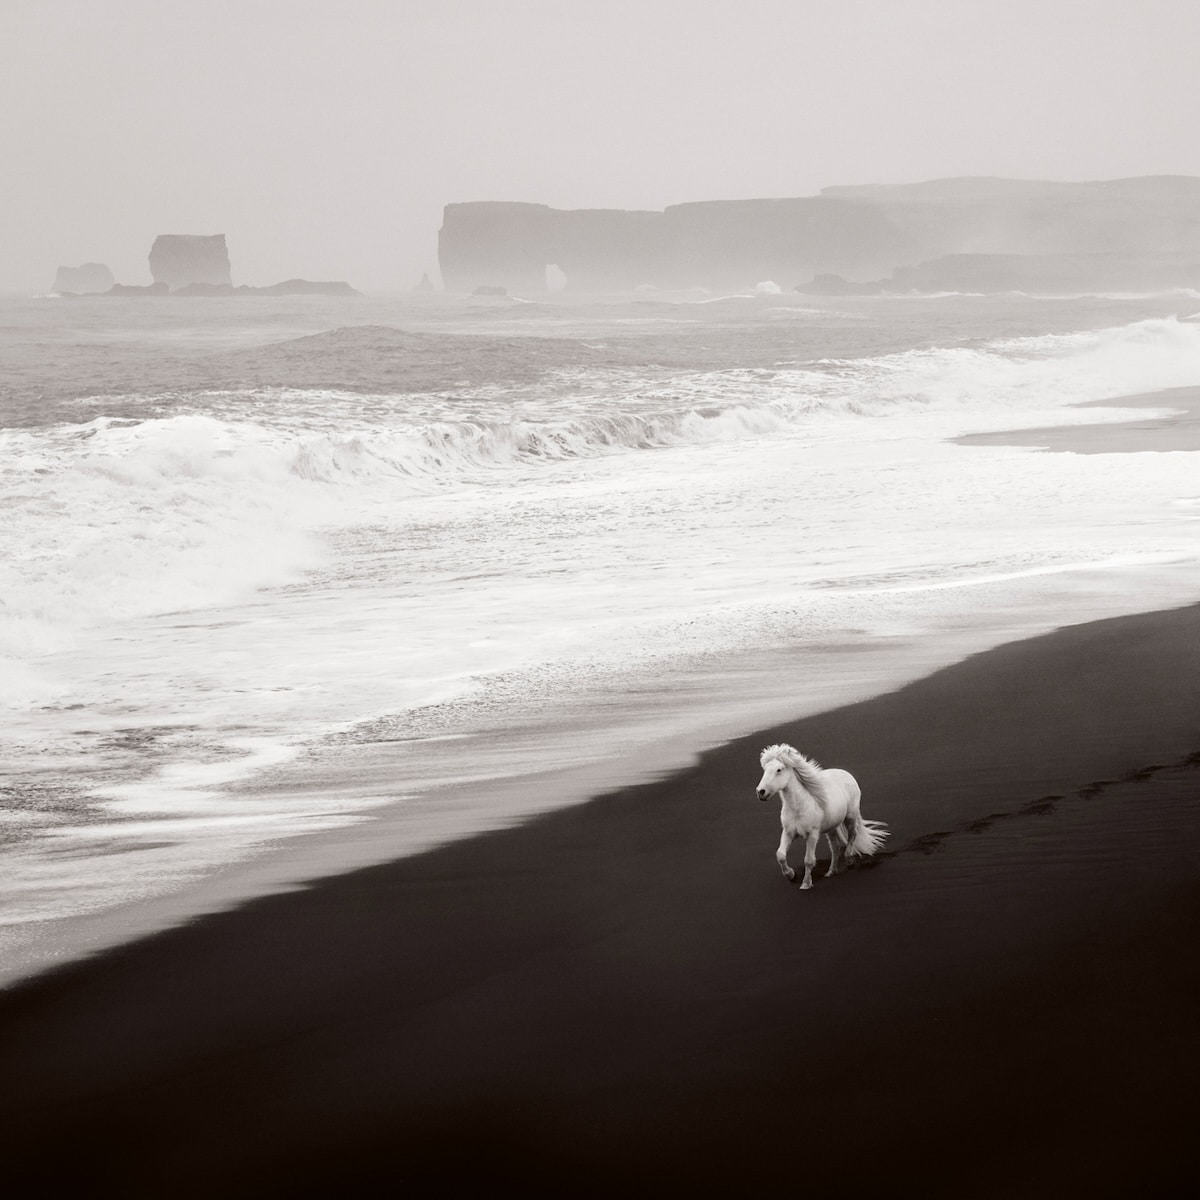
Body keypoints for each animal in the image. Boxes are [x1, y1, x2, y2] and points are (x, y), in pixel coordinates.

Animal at [753, 739, 888, 892]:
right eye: (765, 770)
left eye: (779, 770)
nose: (761, 792)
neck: (798, 807)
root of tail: (846, 773)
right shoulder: (788, 832)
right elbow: (780, 855)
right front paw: (791, 875)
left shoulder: (812, 834)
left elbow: (808, 860)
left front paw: (806, 884)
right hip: (832, 827)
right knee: (835, 847)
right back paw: (831, 871)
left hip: (850, 817)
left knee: (852, 836)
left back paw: (849, 861)